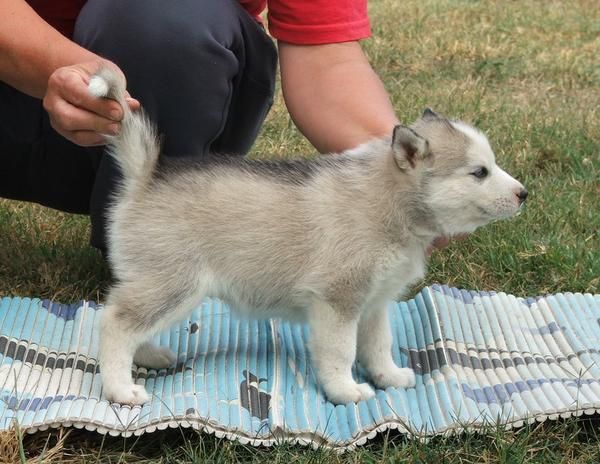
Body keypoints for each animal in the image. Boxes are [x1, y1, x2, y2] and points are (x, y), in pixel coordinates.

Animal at [88, 69, 524, 406]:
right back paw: (121, 389)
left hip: (161, 287)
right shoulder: (338, 300)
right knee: (115, 322)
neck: (390, 201)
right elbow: (341, 351)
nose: (524, 194)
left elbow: (379, 344)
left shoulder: (375, 302)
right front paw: (346, 391)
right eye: (479, 172)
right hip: (173, 284)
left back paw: (149, 357)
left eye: (491, 165)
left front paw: (389, 377)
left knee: (132, 323)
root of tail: (146, 178)